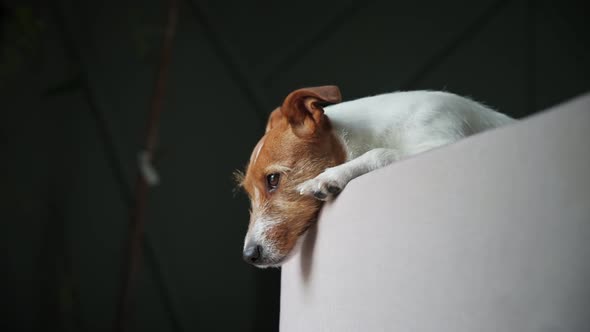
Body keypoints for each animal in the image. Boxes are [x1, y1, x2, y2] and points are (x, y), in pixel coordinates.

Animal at [235, 85, 512, 268]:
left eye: (273, 179)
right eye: (248, 191)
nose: (249, 256)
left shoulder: (443, 139)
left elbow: (378, 152)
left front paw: (330, 177)